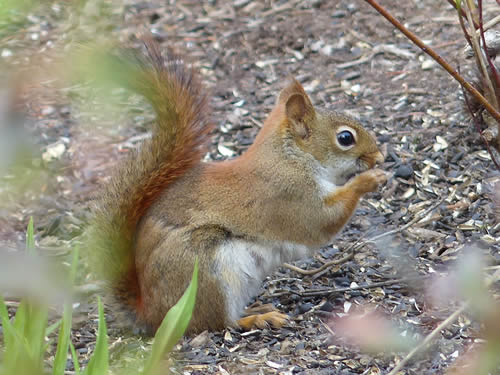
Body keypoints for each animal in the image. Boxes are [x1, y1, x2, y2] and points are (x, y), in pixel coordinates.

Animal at [87, 39, 386, 338]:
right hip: (204, 272)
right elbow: (322, 222)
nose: (379, 157)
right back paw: (256, 319)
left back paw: (258, 308)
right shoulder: (289, 194)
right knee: (216, 323)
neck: (290, 157)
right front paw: (368, 180)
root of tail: (151, 313)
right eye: (345, 138)